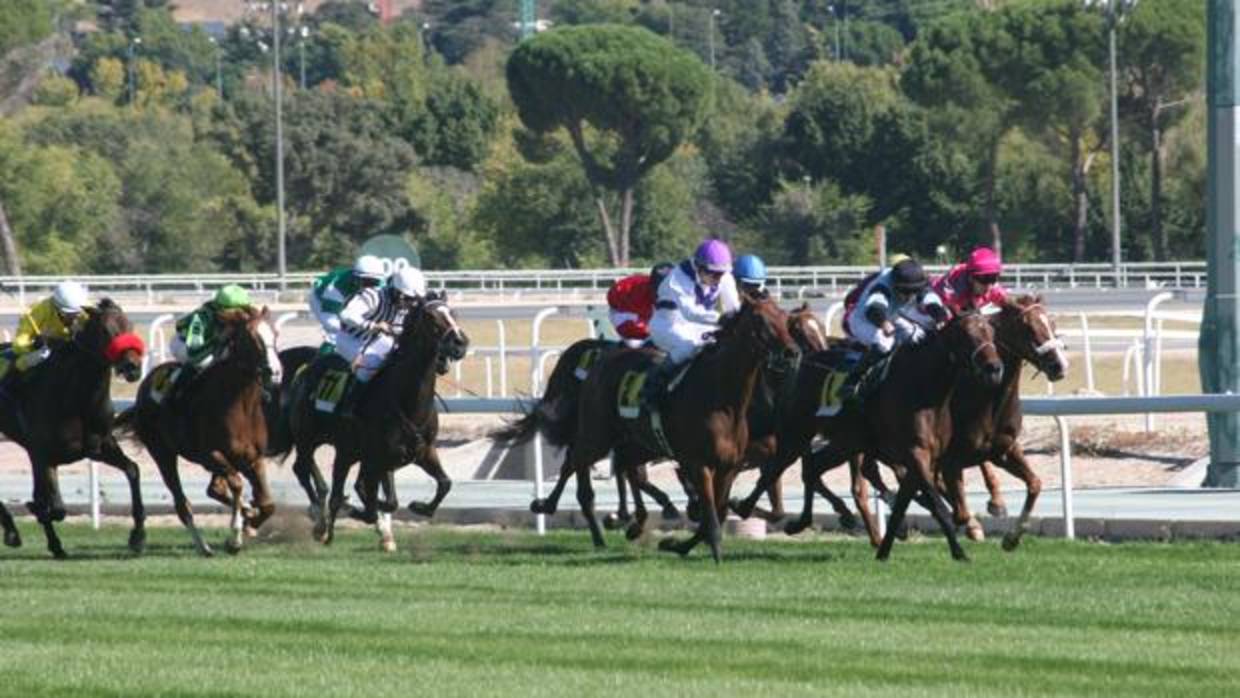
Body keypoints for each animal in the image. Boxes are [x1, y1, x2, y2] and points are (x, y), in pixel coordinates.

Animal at [0, 297, 145, 560]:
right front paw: (37, 512)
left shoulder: (100, 447)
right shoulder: (41, 454)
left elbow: (132, 470)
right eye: (106, 330)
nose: (133, 367)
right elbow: (53, 506)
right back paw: (13, 531)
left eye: (130, 325)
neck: (75, 398)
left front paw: (137, 537)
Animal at [117, 306, 280, 557]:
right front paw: (235, 538)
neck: (239, 405)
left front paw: (252, 519)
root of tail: (145, 386)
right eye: (253, 338)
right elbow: (237, 484)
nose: (275, 372)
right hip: (162, 453)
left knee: (214, 490)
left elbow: (267, 503)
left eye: (275, 334)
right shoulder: (210, 455)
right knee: (183, 504)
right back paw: (203, 545)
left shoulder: (254, 458)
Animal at [279, 291, 466, 552]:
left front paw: (419, 507)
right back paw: (321, 522)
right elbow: (373, 502)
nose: (460, 343)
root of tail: (307, 369)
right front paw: (357, 511)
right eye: (430, 317)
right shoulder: (377, 458)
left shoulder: (422, 451)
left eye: (452, 312)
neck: (406, 400)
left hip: (349, 451)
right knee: (307, 472)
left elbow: (443, 484)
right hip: (310, 439)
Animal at [498, 292, 798, 565]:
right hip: (598, 435)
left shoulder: (729, 465)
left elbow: (719, 512)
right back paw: (549, 505)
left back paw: (625, 522)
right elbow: (711, 515)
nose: (792, 352)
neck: (722, 399)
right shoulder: (698, 463)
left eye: (784, 318)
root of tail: (598, 361)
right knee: (576, 461)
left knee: (620, 465)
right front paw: (709, 550)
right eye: (760, 320)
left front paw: (678, 543)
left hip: (638, 442)